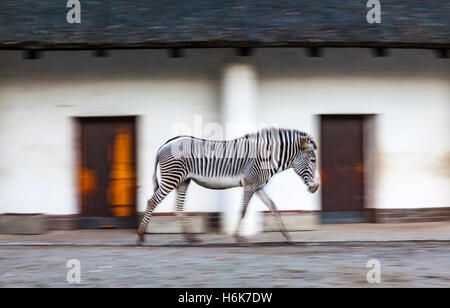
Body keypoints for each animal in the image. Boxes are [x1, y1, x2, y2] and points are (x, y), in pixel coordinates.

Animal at [138, 127, 320, 243]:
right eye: (313, 160)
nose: (316, 187)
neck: (266, 158)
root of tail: (164, 145)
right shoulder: (250, 184)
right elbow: (242, 210)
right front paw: (237, 236)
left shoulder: (258, 186)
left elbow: (274, 207)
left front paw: (288, 236)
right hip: (172, 178)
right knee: (152, 201)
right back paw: (141, 236)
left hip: (182, 181)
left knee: (178, 207)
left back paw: (190, 238)